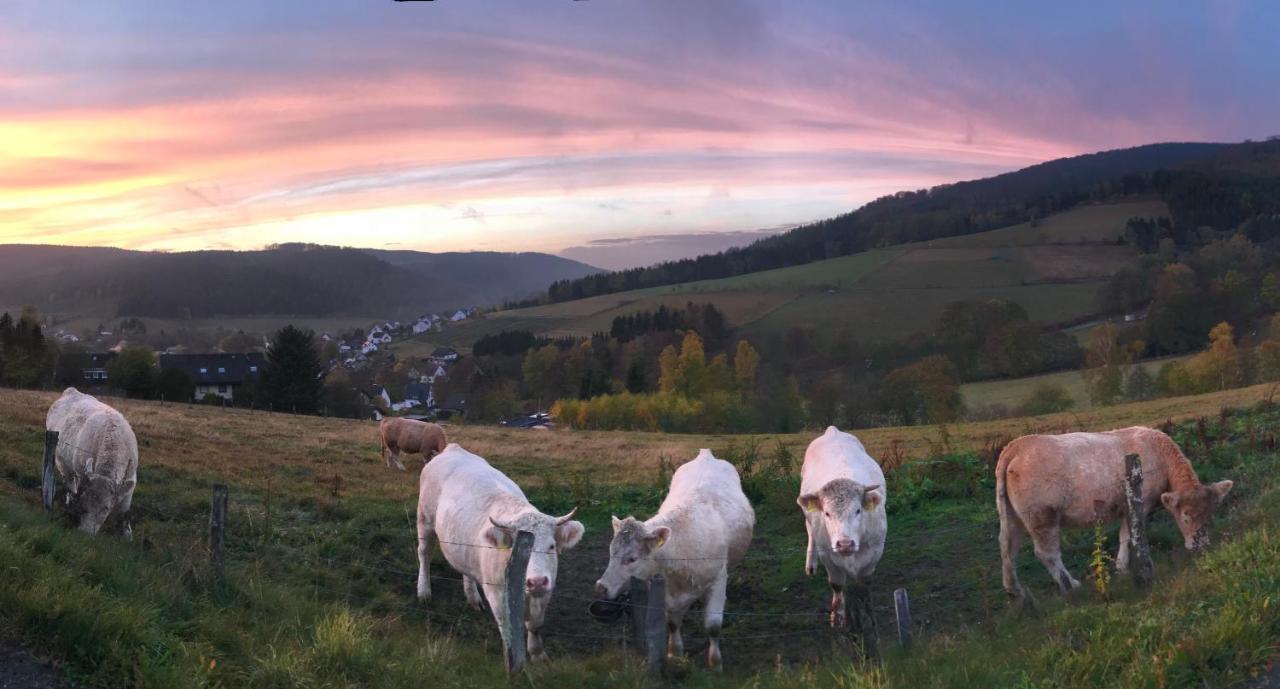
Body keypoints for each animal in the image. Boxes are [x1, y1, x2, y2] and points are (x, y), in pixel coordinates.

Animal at [43, 386, 137, 535]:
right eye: (83, 504)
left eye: (106, 508)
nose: (85, 534)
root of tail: (71, 391)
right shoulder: (81, 473)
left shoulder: (131, 482)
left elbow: (124, 511)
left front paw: (126, 533)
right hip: (62, 462)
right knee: (70, 483)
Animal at [414, 443, 586, 660]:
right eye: (516, 548)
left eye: (552, 546)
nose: (537, 581)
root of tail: (453, 449)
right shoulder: (497, 593)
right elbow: (507, 627)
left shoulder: (546, 590)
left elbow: (535, 625)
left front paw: (538, 655)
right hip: (425, 520)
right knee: (424, 554)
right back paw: (424, 591)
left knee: (465, 569)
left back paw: (473, 598)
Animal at [593, 448, 752, 665]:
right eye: (610, 553)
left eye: (632, 559)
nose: (601, 588)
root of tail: (706, 455)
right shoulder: (667, 592)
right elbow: (672, 623)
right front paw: (674, 652)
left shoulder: (718, 580)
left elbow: (713, 626)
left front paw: (715, 662)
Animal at [793, 422, 885, 622]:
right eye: (827, 513)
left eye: (858, 510)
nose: (844, 544)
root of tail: (832, 431)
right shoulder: (828, 556)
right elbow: (836, 585)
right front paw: (838, 615)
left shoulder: (875, 552)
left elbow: (865, 585)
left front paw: (868, 612)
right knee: (809, 530)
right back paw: (810, 565)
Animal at [993, 422, 1233, 594]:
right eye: (1185, 517)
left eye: (1210, 515)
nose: (1201, 545)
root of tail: (1016, 445)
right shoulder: (1138, 502)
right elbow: (1127, 536)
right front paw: (1122, 567)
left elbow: (1123, 536)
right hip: (1041, 515)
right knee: (1046, 552)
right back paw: (1070, 585)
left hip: (1014, 515)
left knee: (1007, 547)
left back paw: (1013, 589)